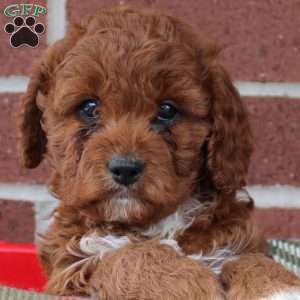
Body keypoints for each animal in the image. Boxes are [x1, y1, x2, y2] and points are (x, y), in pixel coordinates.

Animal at [17, 5, 300, 300]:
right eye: (89, 107)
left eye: (167, 110)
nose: (125, 168)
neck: (154, 223)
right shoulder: (73, 266)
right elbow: (133, 256)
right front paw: (193, 284)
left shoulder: (235, 239)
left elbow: (250, 259)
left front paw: (281, 288)